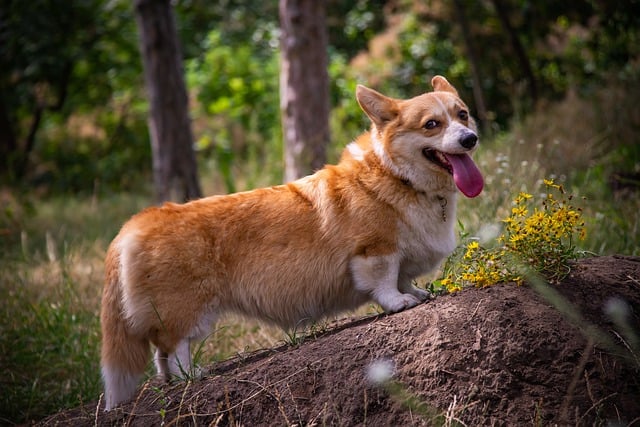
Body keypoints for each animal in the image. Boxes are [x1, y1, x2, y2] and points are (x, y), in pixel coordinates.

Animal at [101, 75, 480, 410]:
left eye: (462, 114)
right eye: (431, 124)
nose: (471, 139)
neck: (398, 176)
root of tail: (132, 227)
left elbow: (405, 277)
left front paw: (416, 293)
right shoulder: (375, 251)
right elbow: (385, 281)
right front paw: (399, 302)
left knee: (161, 356)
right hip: (186, 309)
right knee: (174, 347)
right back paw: (192, 374)